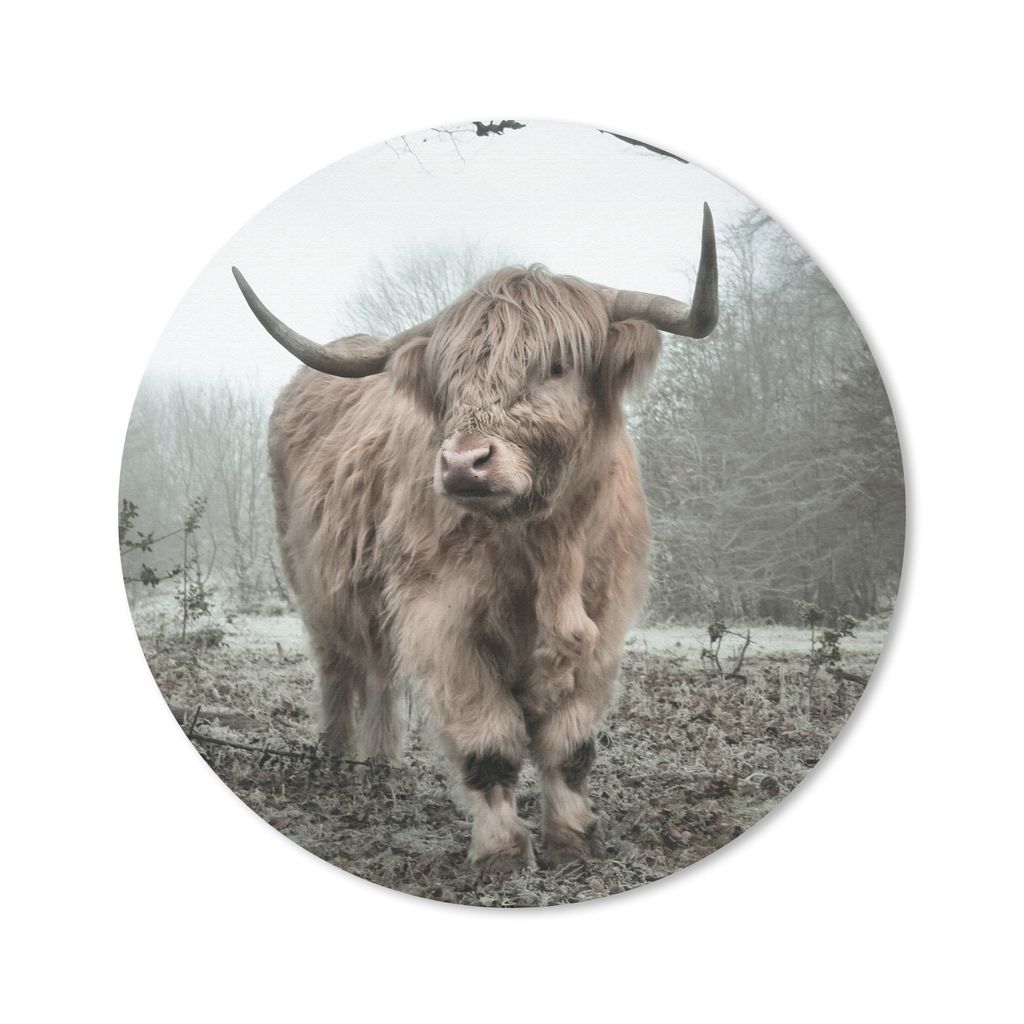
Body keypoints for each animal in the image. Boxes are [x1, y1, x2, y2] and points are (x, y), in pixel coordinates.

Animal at [232, 205, 718, 875]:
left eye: (557, 366)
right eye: (450, 378)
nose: (464, 463)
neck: (546, 547)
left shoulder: (604, 620)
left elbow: (570, 746)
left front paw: (575, 840)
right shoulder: (442, 619)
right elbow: (490, 743)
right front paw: (503, 854)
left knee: (379, 672)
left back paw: (379, 765)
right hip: (315, 586)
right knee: (339, 668)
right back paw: (336, 761)